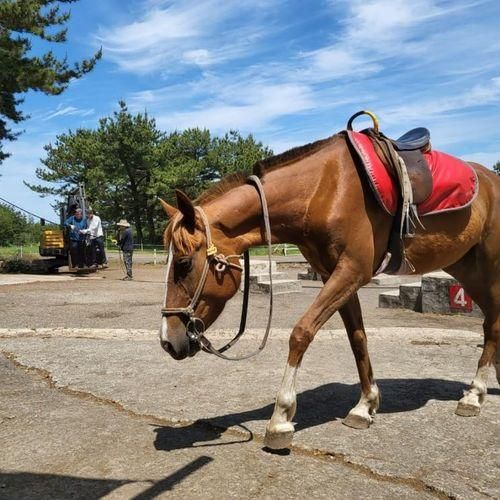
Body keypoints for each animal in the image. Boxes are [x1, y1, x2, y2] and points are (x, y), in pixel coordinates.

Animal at [158, 132, 498, 450]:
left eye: (184, 263)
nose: (167, 340)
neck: (323, 191)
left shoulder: (351, 271)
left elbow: (301, 332)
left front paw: (281, 418)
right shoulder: (334, 275)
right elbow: (357, 339)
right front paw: (365, 405)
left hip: (490, 267)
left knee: (492, 324)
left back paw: (474, 394)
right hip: (465, 268)